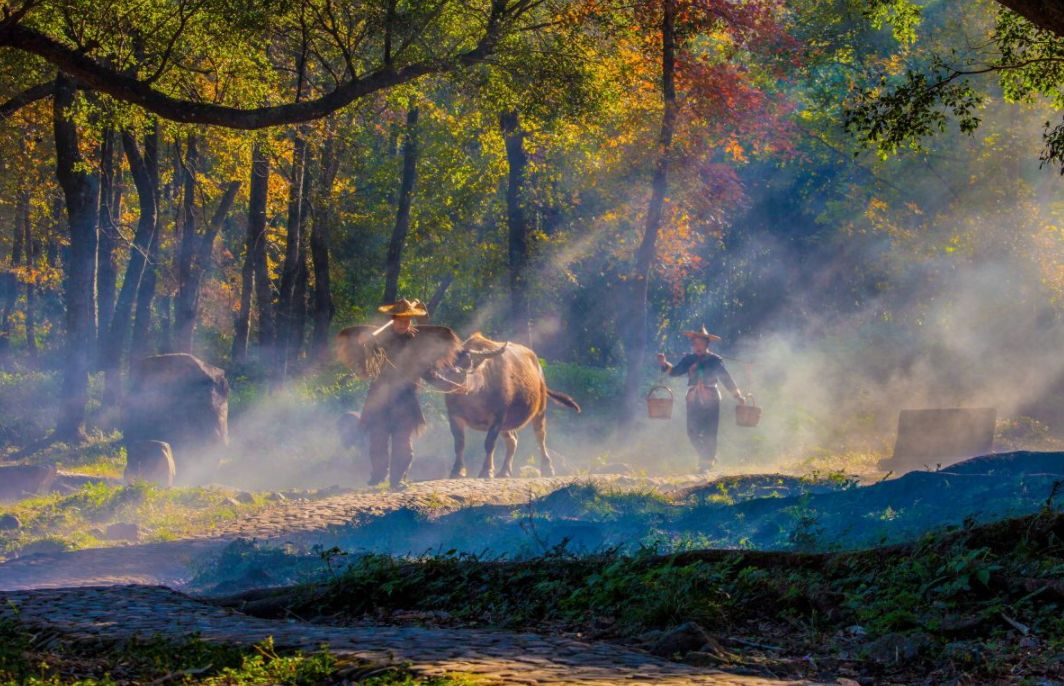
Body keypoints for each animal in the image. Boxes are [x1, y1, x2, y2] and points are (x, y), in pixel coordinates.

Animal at [442, 331, 583, 476]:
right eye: (447, 362)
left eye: (468, 362)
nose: (454, 375)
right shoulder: (454, 416)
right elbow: (459, 443)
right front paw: (457, 471)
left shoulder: (498, 417)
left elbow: (489, 443)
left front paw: (486, 470)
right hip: (507, 425)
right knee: (512, 441)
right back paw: (504, 471)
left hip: (539, 410)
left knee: (540, 437)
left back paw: (547, 469)